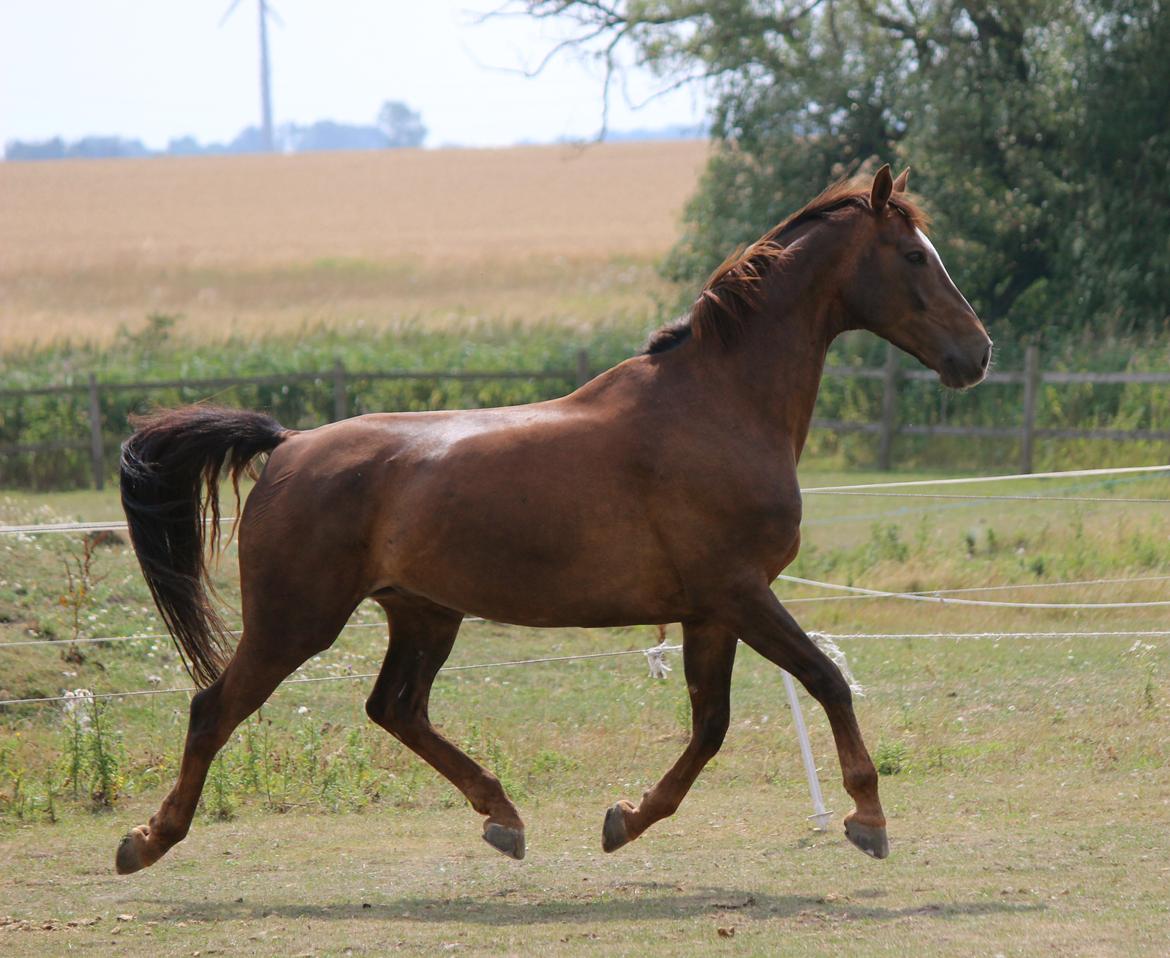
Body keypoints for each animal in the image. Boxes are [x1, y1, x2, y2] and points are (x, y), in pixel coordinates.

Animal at [114, 167, 987, 874]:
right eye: (914, 256)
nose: (977, 354)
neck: (719, 404)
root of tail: (289, 445)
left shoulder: (710, 611)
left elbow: (710, 726)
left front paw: (625, 820)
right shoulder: (740, 594)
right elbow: (824, 681)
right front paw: (867, 818)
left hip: (424, 614)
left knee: (395, 708)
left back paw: (503, 817)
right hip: (296, 622)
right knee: (214, 710)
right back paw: (147, 842)